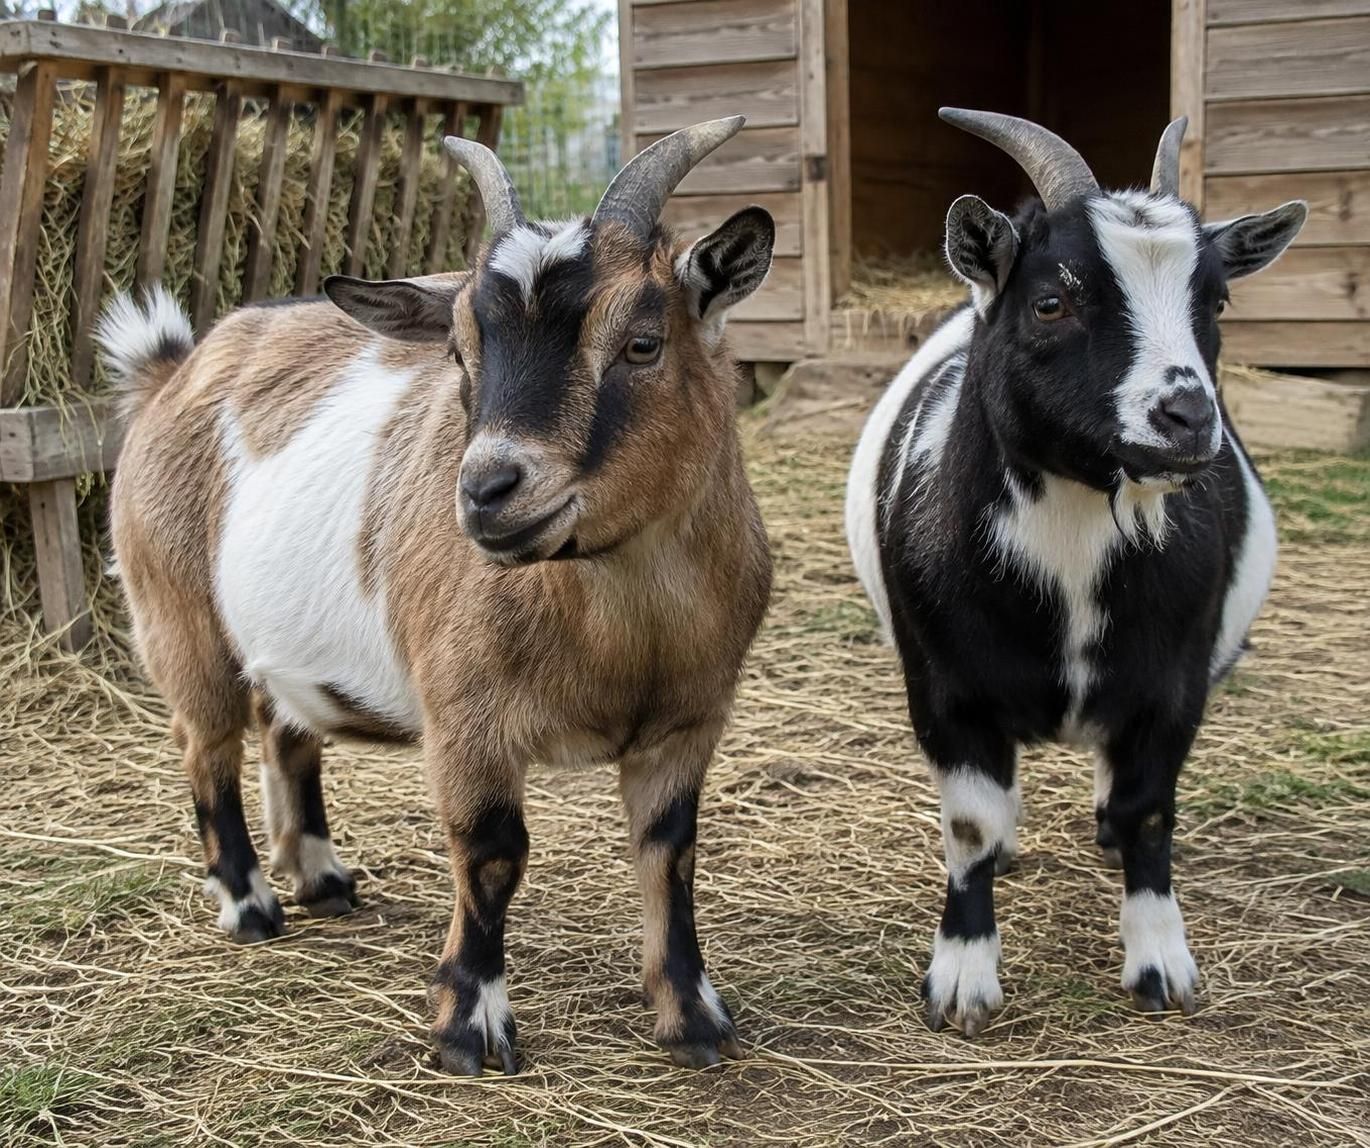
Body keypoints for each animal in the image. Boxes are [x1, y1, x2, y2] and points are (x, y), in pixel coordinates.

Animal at [100, 117, 775, 1074]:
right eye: (458, 352)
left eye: (643, 342)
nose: (488, 489)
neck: (622, 628)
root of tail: (171, 372)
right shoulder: (466, 715)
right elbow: (491, 854)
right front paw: (469, 1025)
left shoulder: (688, 721)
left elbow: (670, 854)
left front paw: (694, 1018)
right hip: (177, 616)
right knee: (207, 750)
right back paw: (250, 904)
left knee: (287, 734)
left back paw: (321, 878)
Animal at [846, 109, 1306, 1036]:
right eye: (1052, 300)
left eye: (1215, 301)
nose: (1186, 417)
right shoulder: (945, 691)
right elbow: (971, 826)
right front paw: (962, 977)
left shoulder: (1174, 686)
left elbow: (1148, 811)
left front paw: (1160, 962)